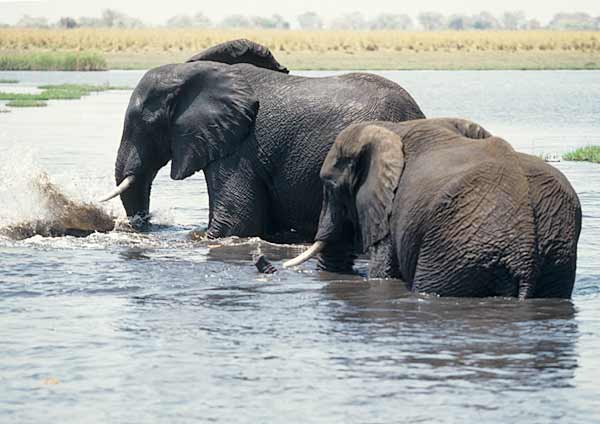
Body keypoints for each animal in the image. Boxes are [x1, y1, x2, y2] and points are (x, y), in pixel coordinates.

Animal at [286, 117, 580, 300]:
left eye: (329, 186)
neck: (390, 128)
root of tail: (525, 254)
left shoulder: (390, 209)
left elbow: (384, 272)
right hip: (556, 253)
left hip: (457, 248)